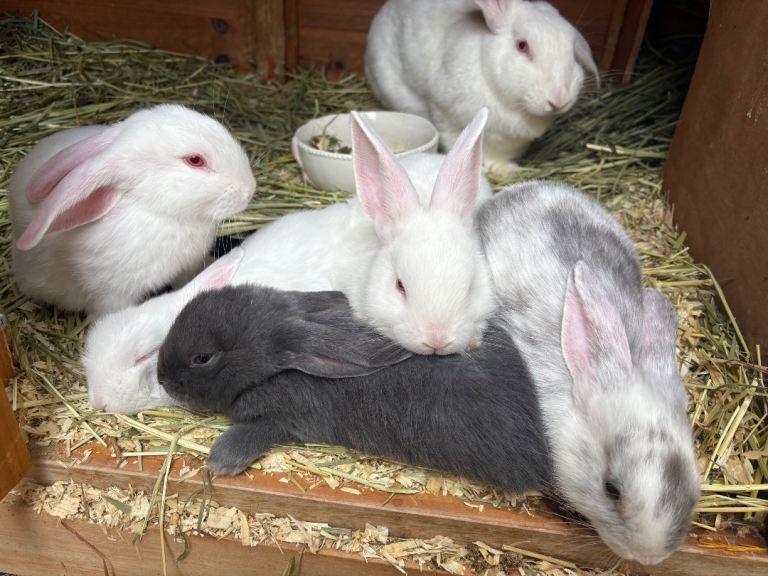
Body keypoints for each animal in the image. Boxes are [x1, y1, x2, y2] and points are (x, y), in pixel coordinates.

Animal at [365, 0, 599, 177]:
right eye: (522, 46)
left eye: (572, 54)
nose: (559, 99)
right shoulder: (446, 116)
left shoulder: (513, 143)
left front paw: (507, 170)